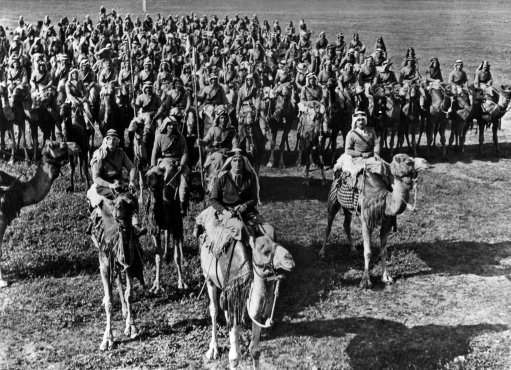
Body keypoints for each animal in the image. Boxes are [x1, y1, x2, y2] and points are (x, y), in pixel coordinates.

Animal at [145, 165, 187, 294]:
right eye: (147, 175)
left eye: (160, 174)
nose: (151, 183)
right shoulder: (155, 232)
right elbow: (157, 258)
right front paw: (156, 286)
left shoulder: (175, 225)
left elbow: (176, 257)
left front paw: (181, 283)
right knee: (167, 234)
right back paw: (165, 254)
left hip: (178, 223)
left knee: (180, 239)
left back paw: (183, 259)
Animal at [322, 153, 430, 290]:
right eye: (408, 162)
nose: (426, 162)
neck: (385, 199)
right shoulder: (366, 221)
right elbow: (368, 251)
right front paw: (365, 281)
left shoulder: (387, 223)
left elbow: (383, 251)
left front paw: (386, 278)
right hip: (333, 200)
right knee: (328, 225)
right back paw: (322, 252)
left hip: (348, 208)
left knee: (346, 224)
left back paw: (353, 249)